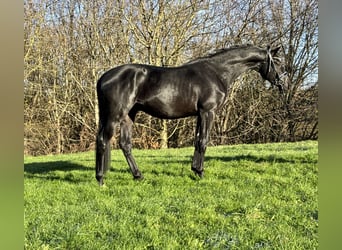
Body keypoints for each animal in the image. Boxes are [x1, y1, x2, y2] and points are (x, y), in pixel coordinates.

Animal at [95, 44, 284, 185]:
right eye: (277, 62)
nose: (280, 82)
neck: (217, 72)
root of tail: (103, 77)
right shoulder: (208, 112)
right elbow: (203, 141)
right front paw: (200, 173)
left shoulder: (200, 114)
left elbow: (197, 140)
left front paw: (194, 169)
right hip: (115, 115)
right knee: (103, 140)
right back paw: (101, 179)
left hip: (128, 116)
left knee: (125, 144)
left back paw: (138, 176)